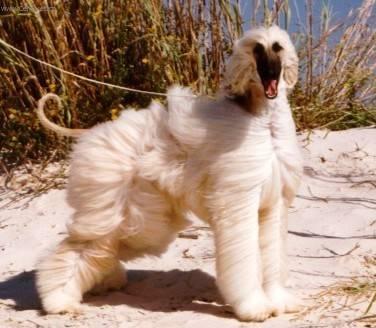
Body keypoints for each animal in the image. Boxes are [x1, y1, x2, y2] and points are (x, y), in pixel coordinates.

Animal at [36, 26, 302, 322]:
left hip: (144, 220)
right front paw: (254, 306)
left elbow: (273, 253)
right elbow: (244, 257)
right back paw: (59, 299)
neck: (264, 122)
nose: (270, 71)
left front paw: (278, 299)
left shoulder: (274, 204)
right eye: (257, 49)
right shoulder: (238, 199)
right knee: (78, 249)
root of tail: (95, 131)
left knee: (101, 250)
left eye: (277, 47)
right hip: (117, 209)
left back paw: (104, 281)